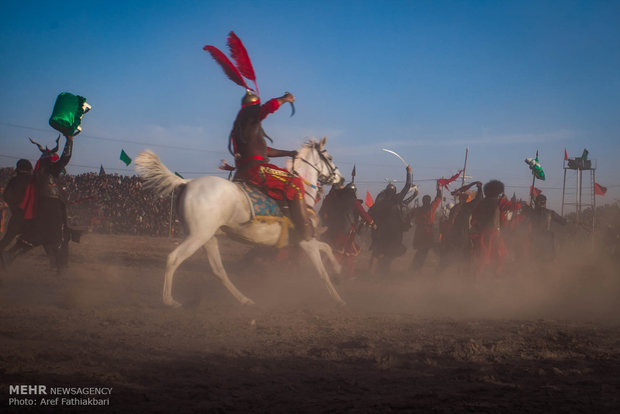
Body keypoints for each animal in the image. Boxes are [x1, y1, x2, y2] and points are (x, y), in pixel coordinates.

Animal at [136, 137, 346, 308]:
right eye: (330, 157)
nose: (342, 179)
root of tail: (187, 182)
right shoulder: (306, 241)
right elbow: (322, 272)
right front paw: (338, 299)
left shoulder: (304, 241)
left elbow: (327, 247)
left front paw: (338, 272)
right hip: (197, 236)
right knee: (173, 259)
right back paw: (169, 300)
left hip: (208, 238)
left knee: (219, 271)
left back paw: (244, 300)